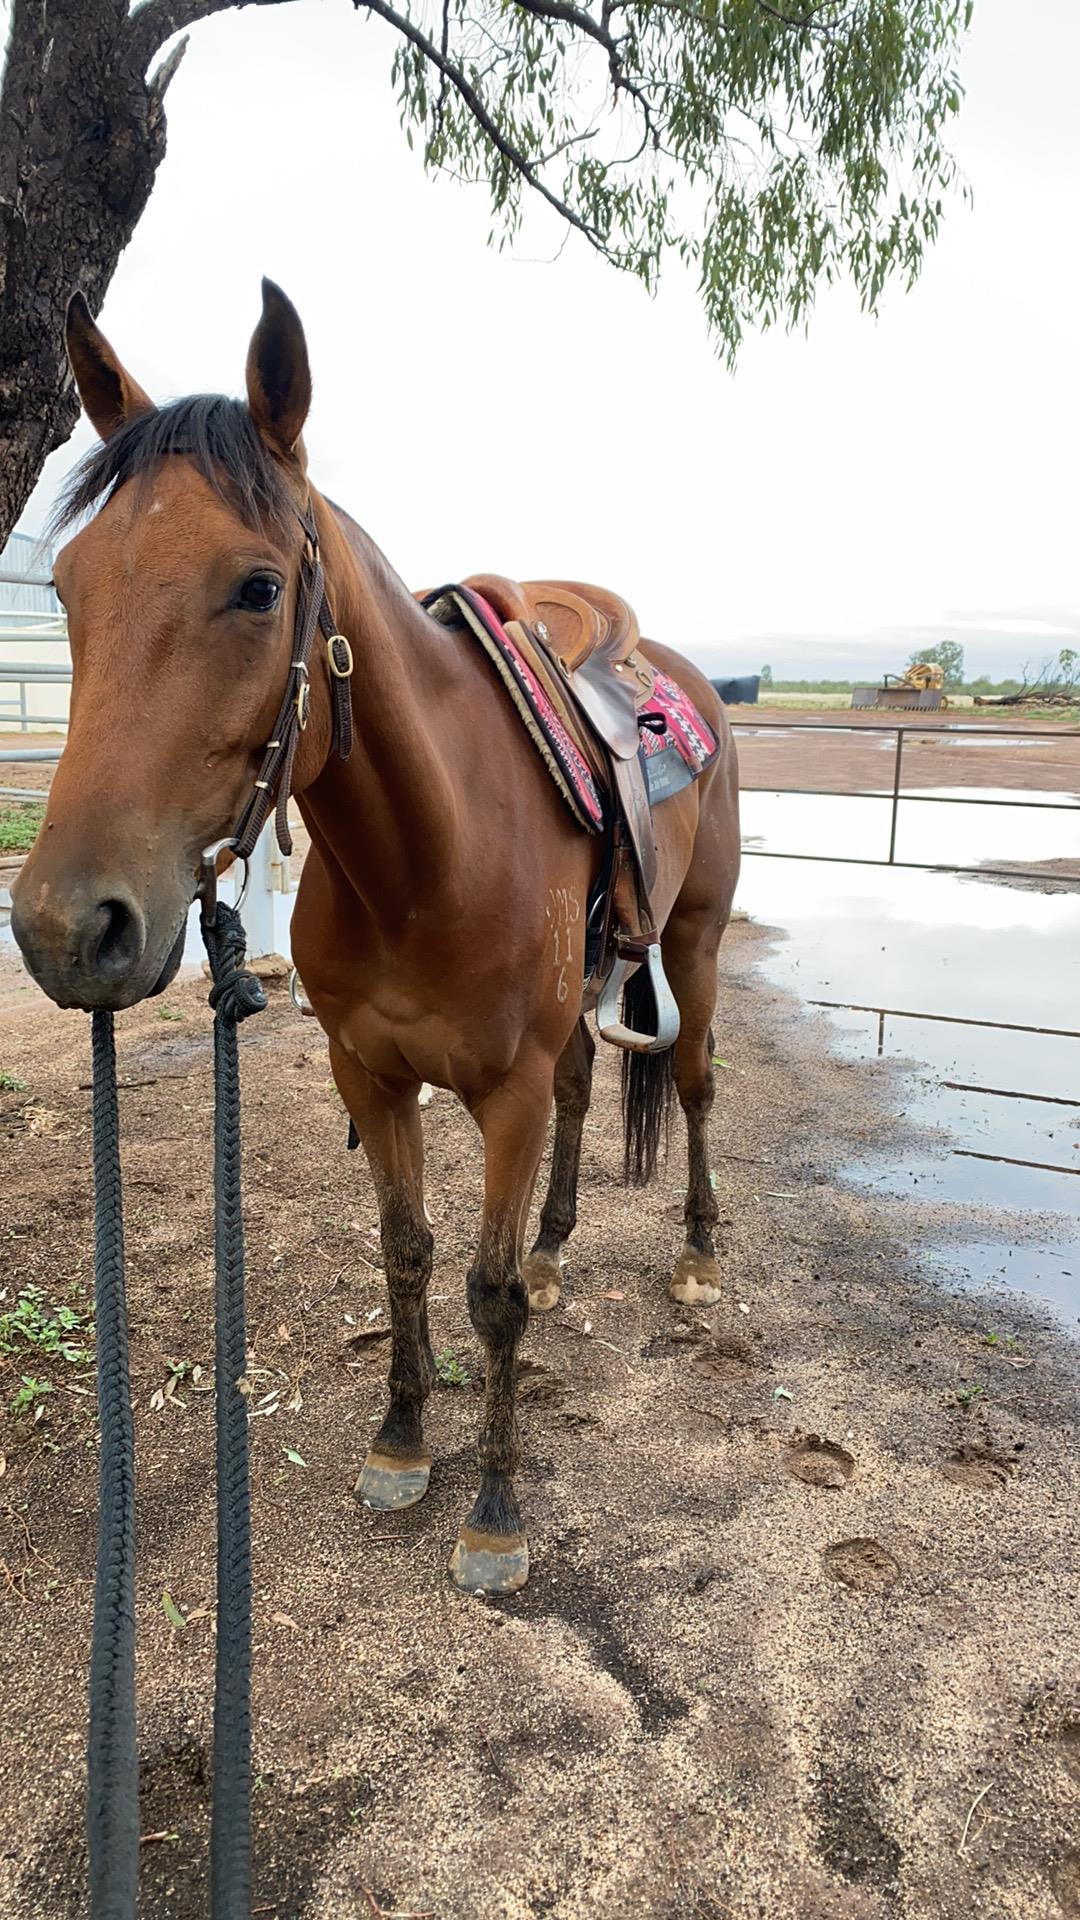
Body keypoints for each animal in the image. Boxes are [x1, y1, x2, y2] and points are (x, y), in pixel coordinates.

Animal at [11, 280, 741, 1594]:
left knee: (696, 1084)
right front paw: (403, 1441)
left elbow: (487, 1296)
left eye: (259, 589)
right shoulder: (371, 1073)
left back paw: (699, 1255)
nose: (63, 927)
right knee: (584, 1087)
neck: (427, 859)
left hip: (695, 946)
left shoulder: (498, 1093)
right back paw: (558, 1245)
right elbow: (405, 1251)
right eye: (66, 591)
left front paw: (494, 1510)